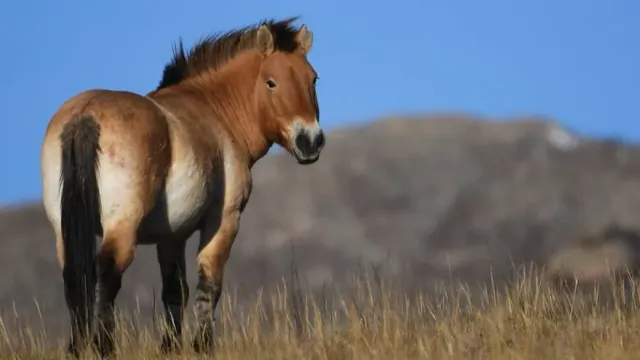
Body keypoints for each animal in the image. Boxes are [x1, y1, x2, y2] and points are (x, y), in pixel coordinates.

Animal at [38, 16, 324, 358]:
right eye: (271, 82)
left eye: (313, 79)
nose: (310, 141)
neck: (215, 111)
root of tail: (86, 115)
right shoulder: (223, 221)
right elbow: (208, 285)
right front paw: (202, 345)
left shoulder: (171, 236)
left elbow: (175, 292)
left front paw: (170, 348)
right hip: (122, 227)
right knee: (107, 274)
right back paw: (105, 347)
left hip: (64, 229)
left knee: (75, 277)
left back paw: (78, 347)